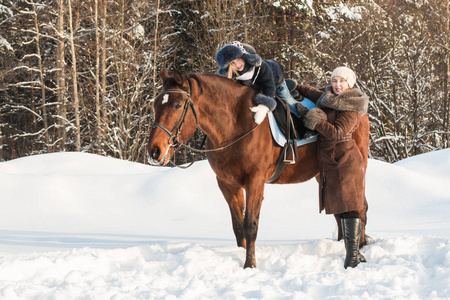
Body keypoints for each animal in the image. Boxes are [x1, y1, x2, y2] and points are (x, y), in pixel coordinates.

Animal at [148, 68, 370, 270]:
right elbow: (238, 227)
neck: (237, 124)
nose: (154, 151)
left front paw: (250, 265)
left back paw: (359, 250)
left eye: (177, 105)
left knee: (360, 207)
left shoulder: (254, 182)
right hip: (322, 174)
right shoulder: (227, 184)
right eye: (155, 104)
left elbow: (250, 225)